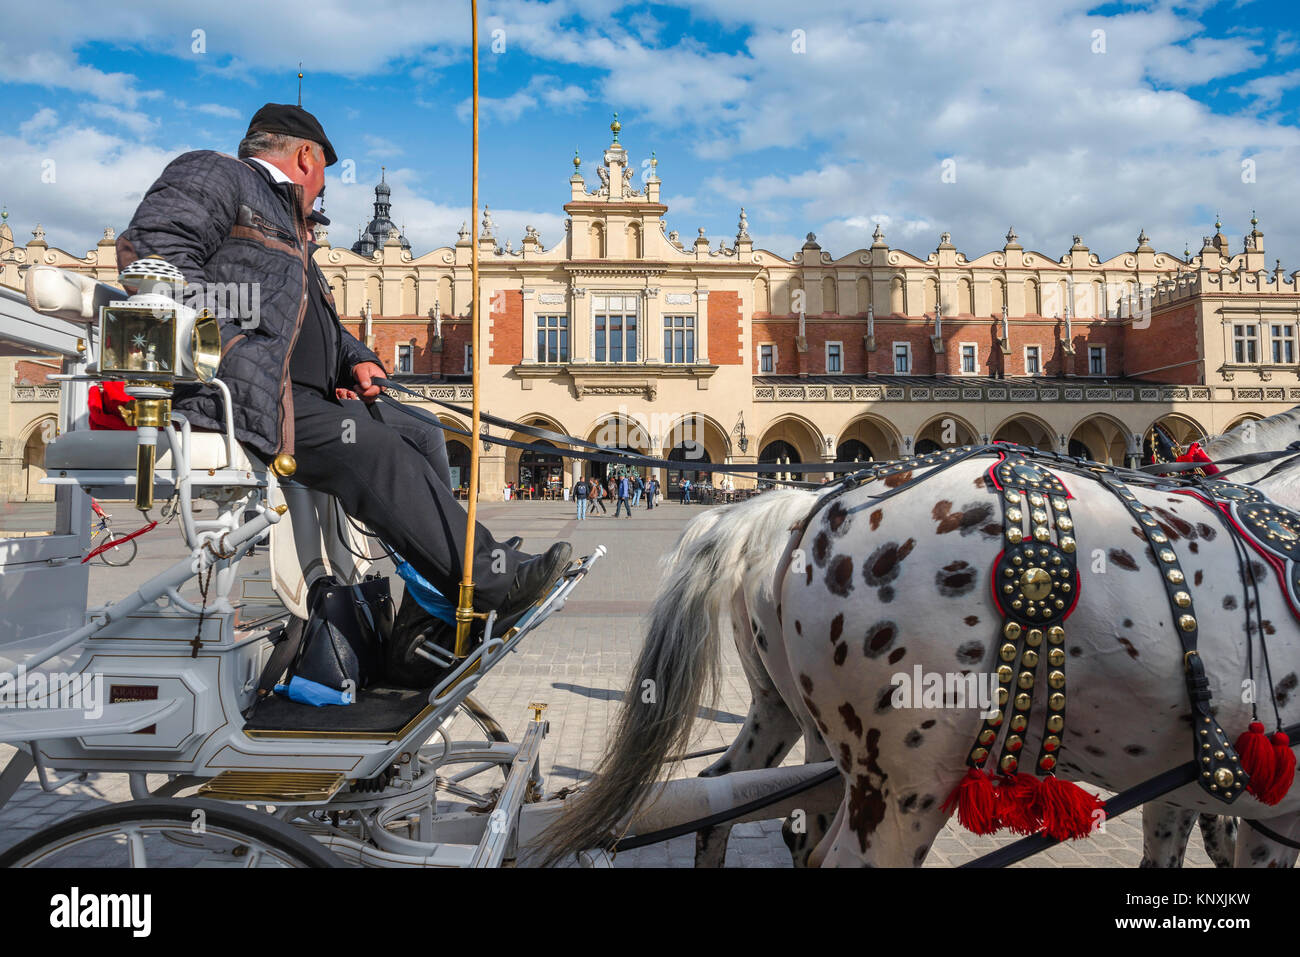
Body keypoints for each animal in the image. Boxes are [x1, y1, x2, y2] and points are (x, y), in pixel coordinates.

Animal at [540, 408, 1300, 863]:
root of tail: (797, 513)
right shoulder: (1257, 800)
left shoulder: (1187, 783)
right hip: (900, 779)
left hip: (783, 708)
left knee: (725, 793)